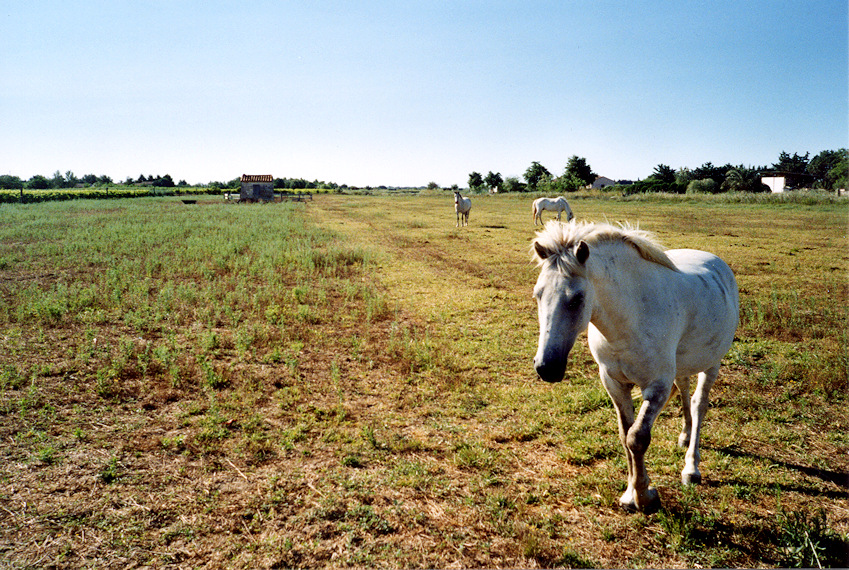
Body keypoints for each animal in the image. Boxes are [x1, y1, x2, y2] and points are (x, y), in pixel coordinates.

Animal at [528, 220, 736, 512]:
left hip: (712, 364)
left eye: (577, 298)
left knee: (699, 404)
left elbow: (637, 438)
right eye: (538, 294)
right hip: (682, 364)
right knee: (685, 391)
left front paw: (644, 497)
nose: (546, 367)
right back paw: (684, 436)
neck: (631, 318)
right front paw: (630, 494)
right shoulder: (614, 383)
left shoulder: (657, 386)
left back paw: (691, 468)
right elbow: (624, 435)